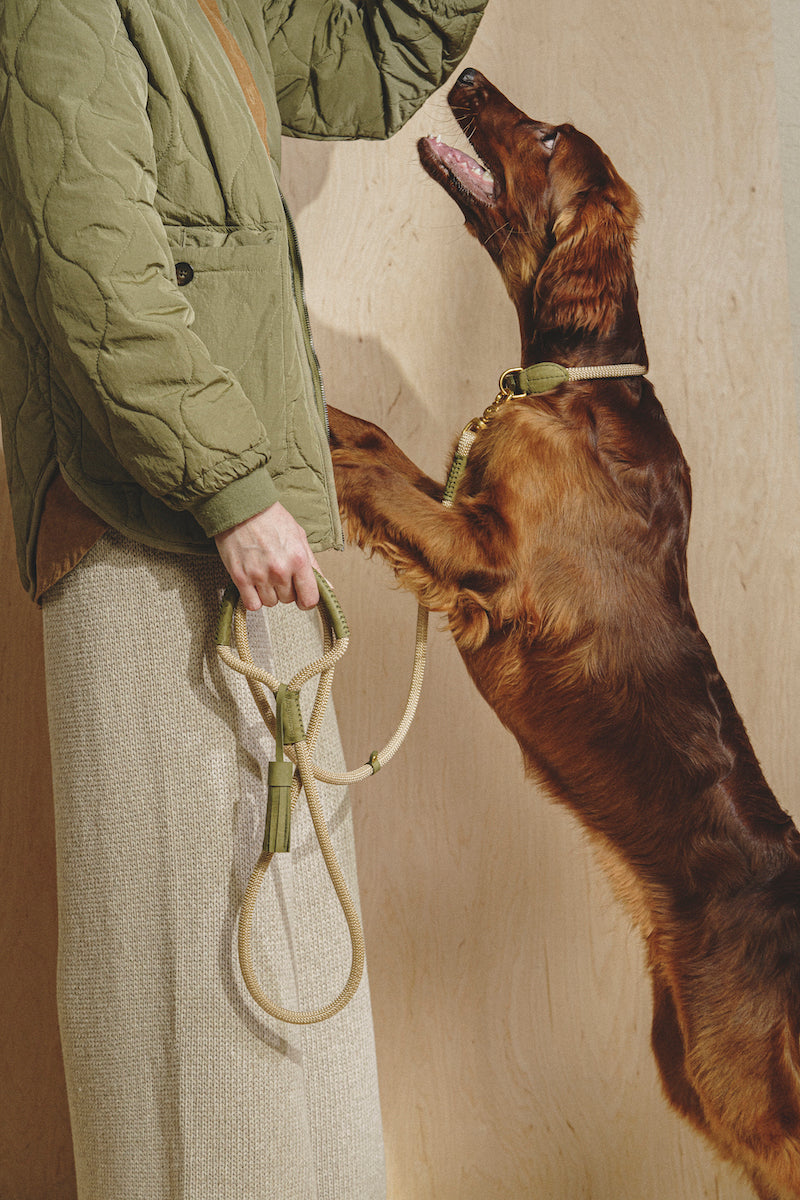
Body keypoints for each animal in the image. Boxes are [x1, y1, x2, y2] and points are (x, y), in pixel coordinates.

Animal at [326, 68, 800, 1200]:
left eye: (544, 139)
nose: (462, 75)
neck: (570, 385)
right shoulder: (466, 507)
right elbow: (378, 440)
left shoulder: (493, 562)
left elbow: (370, 471)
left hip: (757, 1110)